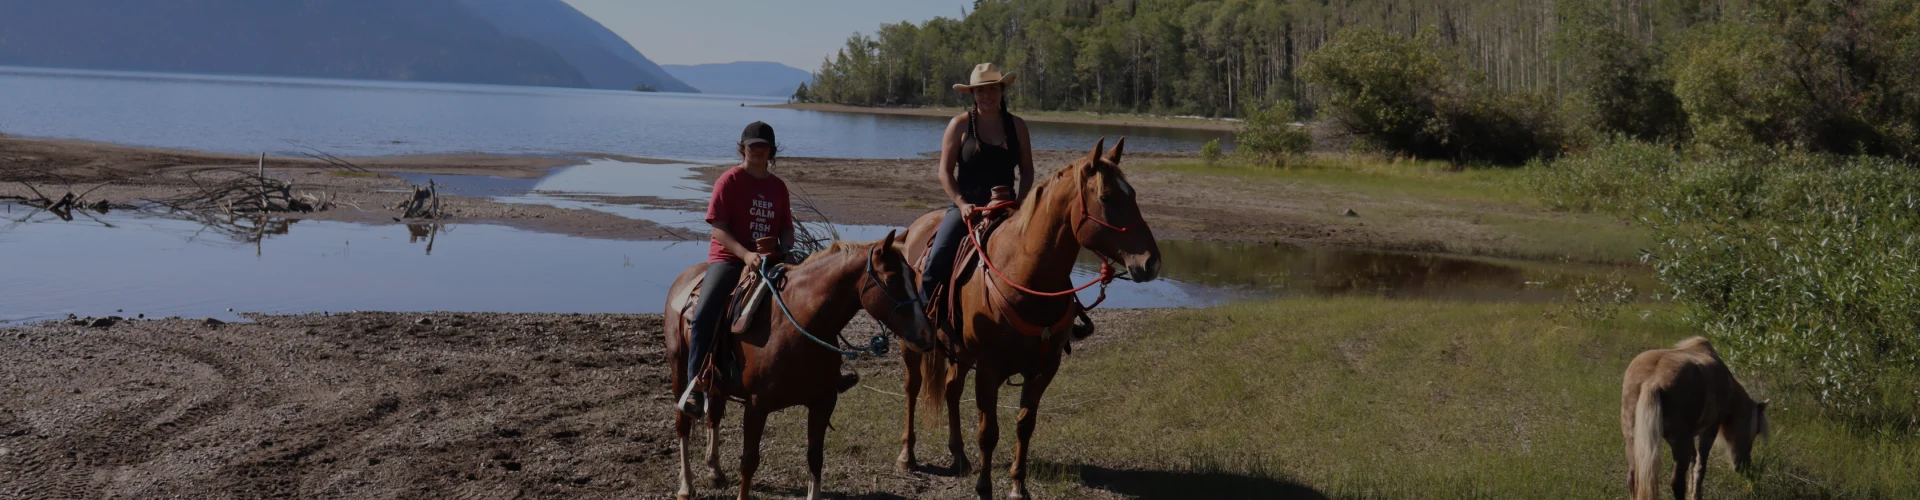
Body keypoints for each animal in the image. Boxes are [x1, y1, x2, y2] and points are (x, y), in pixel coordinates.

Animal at [663, 231, 926, 500]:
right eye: (891, 278)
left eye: (913, 274)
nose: (924, 334)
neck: (797, 324)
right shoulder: (757, 405)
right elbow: (749, 461)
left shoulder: (823, 401)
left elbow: (815, 457)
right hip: (679, 368)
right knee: (683, 423)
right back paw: (686, 485)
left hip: (717, 382)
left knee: (713, 417)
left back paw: (715, 471)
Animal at [897, 137, 1162, 499]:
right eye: (1107, 197)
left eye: (1133, 194)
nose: (1151, 262)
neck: (1024, 274)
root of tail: (914, 229)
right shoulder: (989, 368)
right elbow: (988, 431)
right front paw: (984, 488)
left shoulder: (1043, 368)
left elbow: (1025, 425)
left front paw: (1018, 486)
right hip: (914, 346)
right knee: (913, 388)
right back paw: (907, 455)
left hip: (961, 353)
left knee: (951, 389)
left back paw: (959, 456)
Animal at [1621, 336, 1770, 500]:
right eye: (1756, 431)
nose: (1743, 466)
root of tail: (1652, 382)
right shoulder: (1710, 429)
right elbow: (1700, 465)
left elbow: (1694, 460)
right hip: (1679, 443)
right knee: (1677, 482)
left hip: (1633, 441)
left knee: (1632, 478)